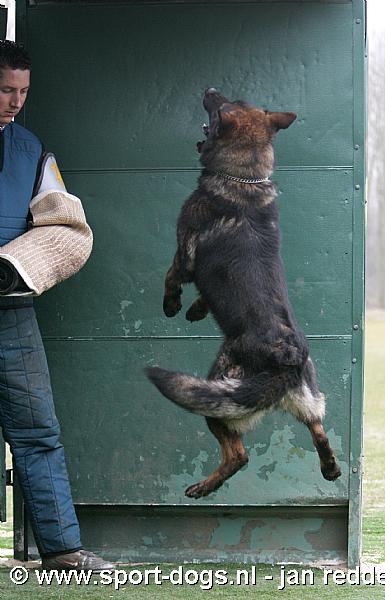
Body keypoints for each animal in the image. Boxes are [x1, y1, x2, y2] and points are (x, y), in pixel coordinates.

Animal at [146, 89, 340, 500]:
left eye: (221, 106)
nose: (209, 88)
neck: (245, 179)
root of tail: (287, 359)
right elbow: (204, 295)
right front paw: (197, 310)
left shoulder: (185, 251)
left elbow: (172, 276)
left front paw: (173, 306)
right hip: (306, 399)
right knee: (318, 429)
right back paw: (329, 468)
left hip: (220, 394)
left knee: (239, 456)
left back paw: (204, 486)